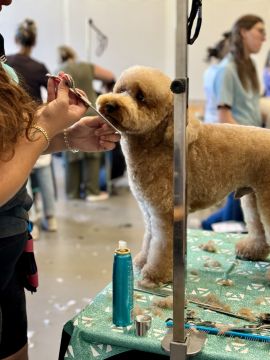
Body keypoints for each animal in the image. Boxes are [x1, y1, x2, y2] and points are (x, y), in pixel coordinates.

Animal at [97, 64, 270, 284]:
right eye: (121, 90)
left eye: (141, 97)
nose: (110, 104)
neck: (158, 143)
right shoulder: (149, 210)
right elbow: (149, 238)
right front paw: (142, 261)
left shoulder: (165, 210)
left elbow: (161, 245)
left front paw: (155, 274)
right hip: (254, 197)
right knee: (258, 227)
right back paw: (251, 251)